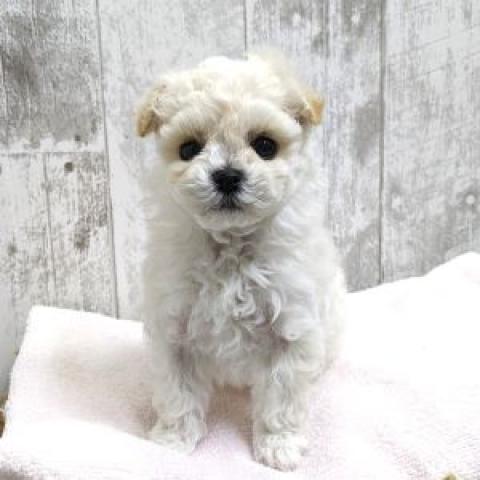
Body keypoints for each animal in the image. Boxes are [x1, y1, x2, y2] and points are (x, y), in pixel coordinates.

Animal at [136, 52, 346, 471]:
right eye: (188, 149)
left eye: (265, 146)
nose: (228, 175)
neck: (231, 246)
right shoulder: (173, 330)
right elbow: (177, 392)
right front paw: (172, 442)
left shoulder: (292, 330)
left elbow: (282, 398)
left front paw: (279, 447)